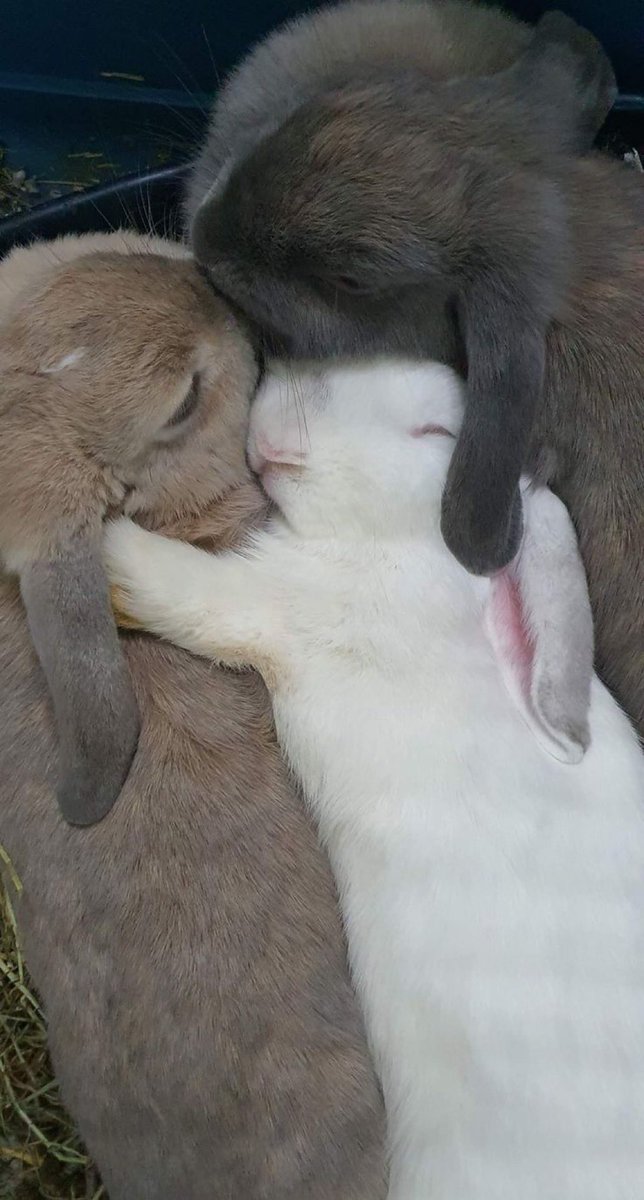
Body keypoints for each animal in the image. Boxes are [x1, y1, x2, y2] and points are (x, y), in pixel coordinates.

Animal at [106, 354, 644, 1200]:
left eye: (435, 432)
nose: (281, 406)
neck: (415, 552)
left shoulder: (277, 601)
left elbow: (183, 587)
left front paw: (107, 543)